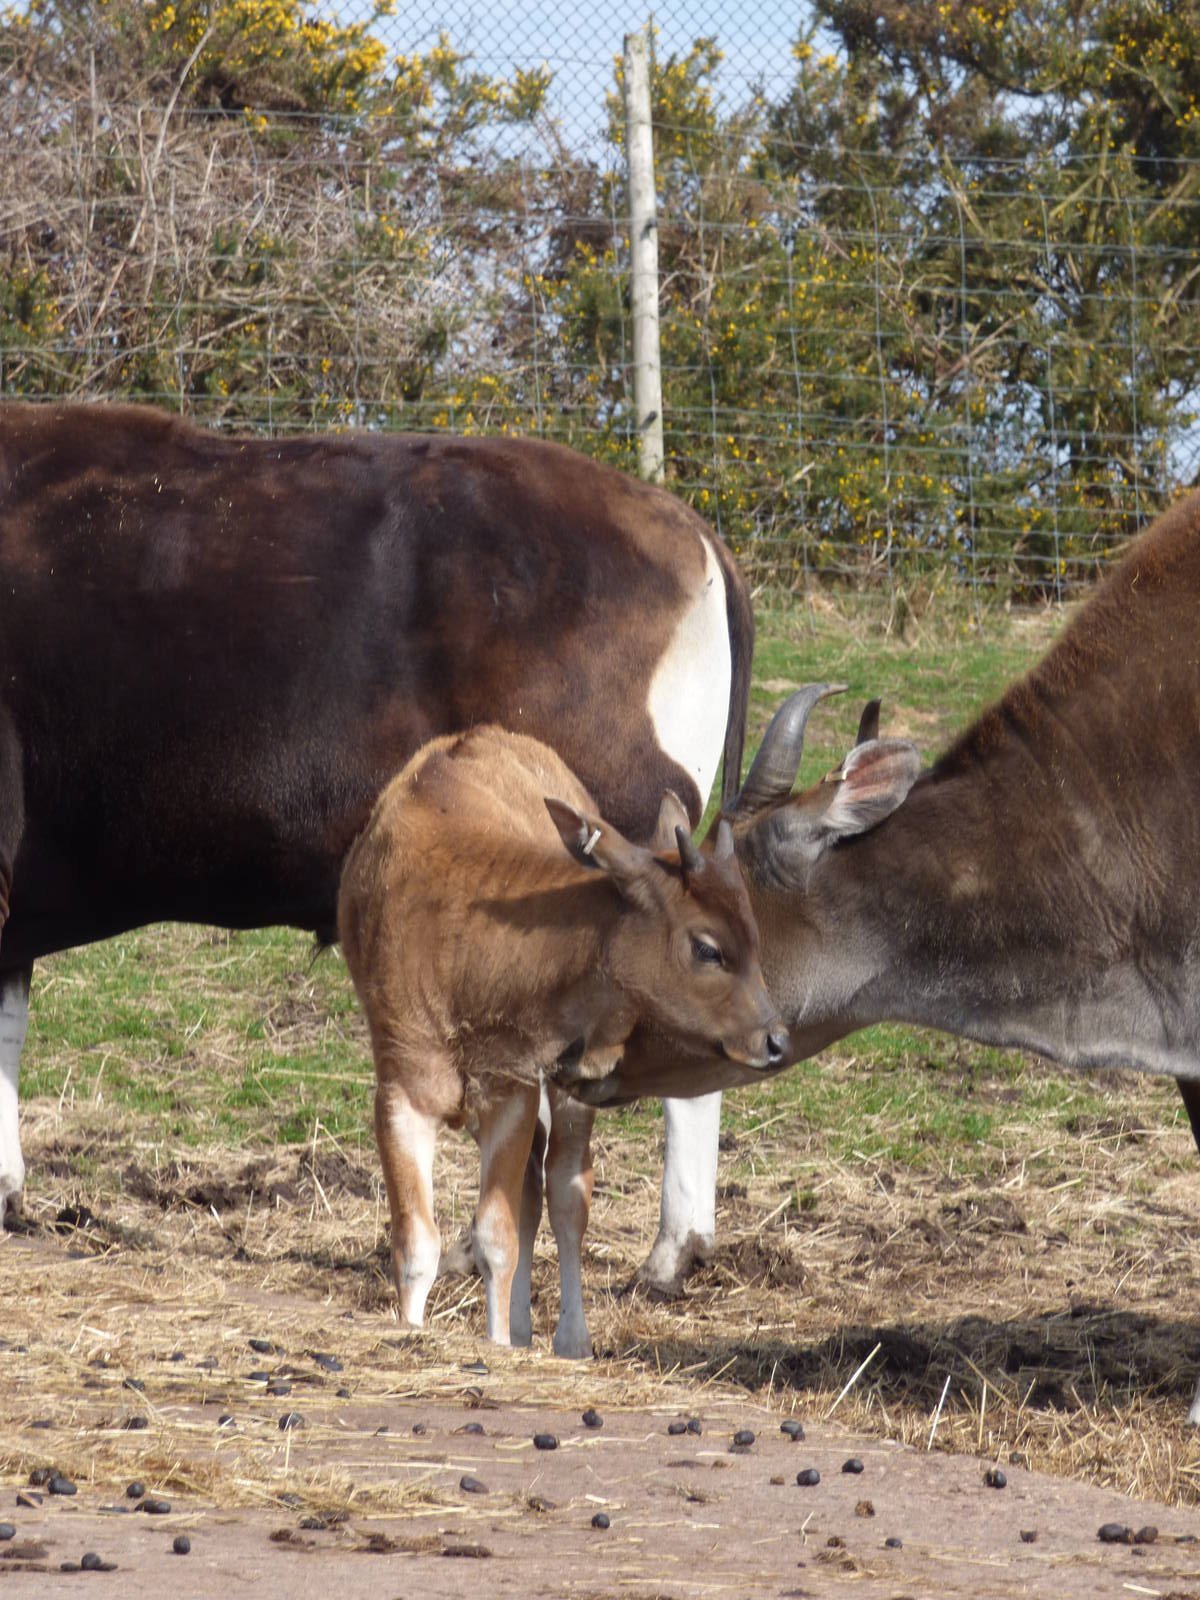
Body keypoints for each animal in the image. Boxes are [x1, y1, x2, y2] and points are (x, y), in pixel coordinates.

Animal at [337, 724, 784, 1354]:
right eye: (707, 947)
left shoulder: (515, 1088)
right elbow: (416, 1244)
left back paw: (571, 1337)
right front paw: (424, 1327)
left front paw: (500, 1342)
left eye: (753, 932)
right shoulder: (402, 1088)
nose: (774, 1039)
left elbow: (498, 1236)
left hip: (575, 1083)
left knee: (567, 1189)